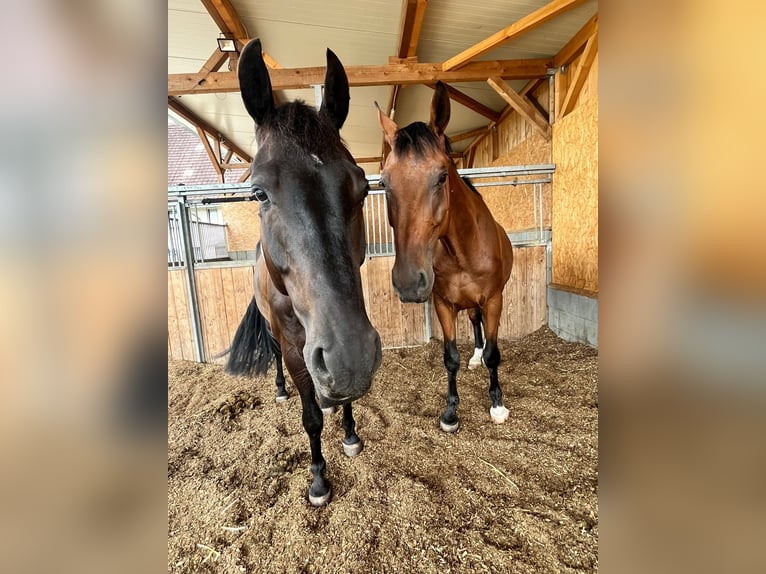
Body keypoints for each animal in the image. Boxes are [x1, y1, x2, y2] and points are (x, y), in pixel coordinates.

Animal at [226, 39, 384, 508]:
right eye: (258, 192)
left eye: (362, 187)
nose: (351, 358)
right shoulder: (298, 349)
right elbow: (310, 416)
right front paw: (318, 480)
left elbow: (344, 399)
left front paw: (349, 432)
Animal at [378, 81, 516, 432]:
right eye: (383, 182)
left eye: (442, 176)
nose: (409, 282)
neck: (462, 251)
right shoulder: (443, 304)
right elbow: (449, 357)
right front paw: (451, 412)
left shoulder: (493, 299)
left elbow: (495, 353)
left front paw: (497, 405)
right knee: (473, 322)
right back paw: (474, 357)